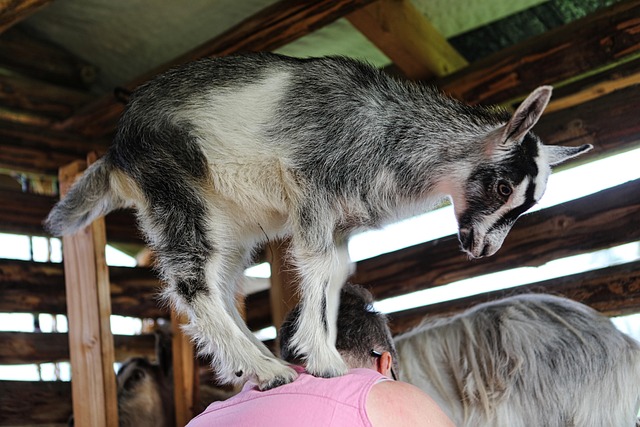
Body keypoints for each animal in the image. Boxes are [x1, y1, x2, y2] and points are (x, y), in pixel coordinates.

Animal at [45, 52, 591, 390]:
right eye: (502, 188)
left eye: (526, 205)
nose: (482, 250)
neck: (387, 132)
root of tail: (116, 149)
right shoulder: (313, 188)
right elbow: (319, 265)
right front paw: (325, 360)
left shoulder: (341, 219)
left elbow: (337, 272)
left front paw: (322, 349)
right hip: (176, 189)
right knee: (191, 282)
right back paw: (265, 369)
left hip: (229, 219)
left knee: (221, 282)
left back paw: (252, 363)